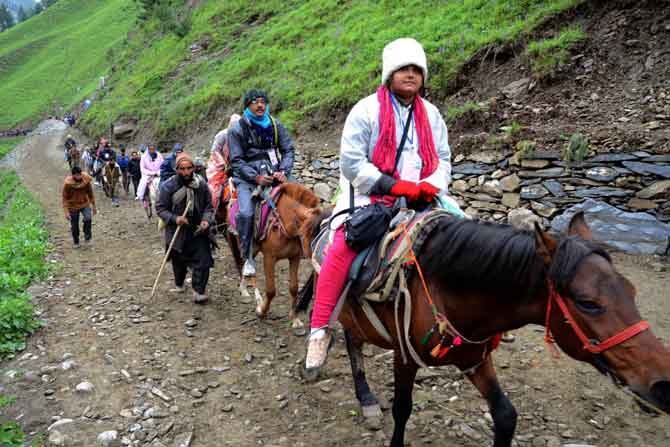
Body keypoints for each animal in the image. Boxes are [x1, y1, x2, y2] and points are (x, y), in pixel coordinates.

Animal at [218, 182, 326, 328]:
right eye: (314, 236)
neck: (284, 221)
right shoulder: (269, 258)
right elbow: (271, 290)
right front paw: (261, 312)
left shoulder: (294, 258)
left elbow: (294, 288)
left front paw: (295, 319)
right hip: (239, 241)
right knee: (243, 265)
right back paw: (252, 295)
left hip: (254, 249)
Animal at [300, 213, 670, 447]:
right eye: (588, 302)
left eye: (632, 291)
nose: (663, 385)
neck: (444, 287)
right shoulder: (405, 358)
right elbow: (402, 408)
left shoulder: (474, 358)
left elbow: (506, 416)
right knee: (349, 341)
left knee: (354, 339)